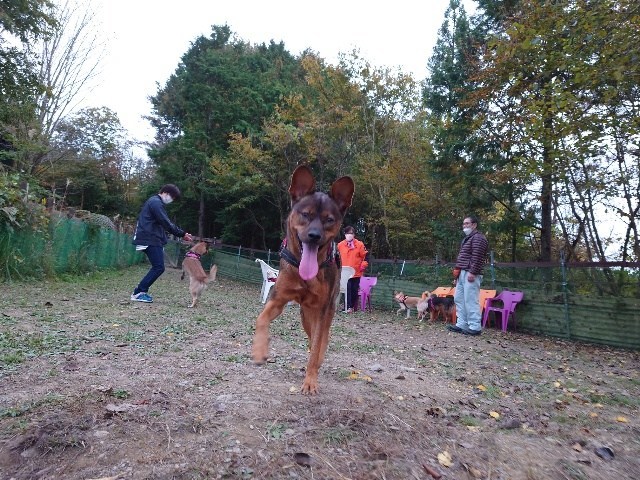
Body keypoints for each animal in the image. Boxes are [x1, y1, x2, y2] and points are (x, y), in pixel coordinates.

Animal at [251, 165, 356, 394]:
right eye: (306, 214)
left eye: (329, 220)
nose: (314, 235)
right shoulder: (277, 299)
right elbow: (261, 318)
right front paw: (259, 351)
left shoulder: (322, 310)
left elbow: (317, 346)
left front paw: (310, 381)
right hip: (305, 315)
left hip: (324, 311)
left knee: (321, 339)